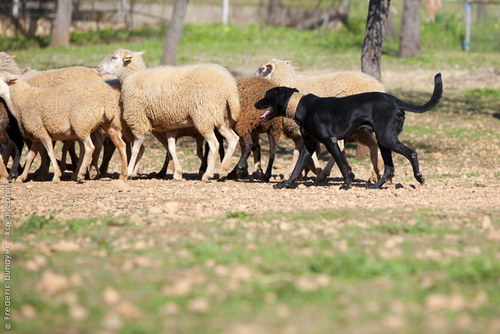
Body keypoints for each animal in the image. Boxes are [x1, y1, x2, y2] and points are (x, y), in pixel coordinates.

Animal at [0, 72, 128, 183]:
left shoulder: (42, 132)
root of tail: (105, 100)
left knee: (90, 147)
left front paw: (57, 175)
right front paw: (21, 177)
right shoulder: (36, 136)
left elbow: (50, 152)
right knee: (120, 145)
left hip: (81, 124)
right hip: (108, 124)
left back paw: (81, 174)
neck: (23, 99)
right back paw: (123, 175)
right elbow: (30, 157)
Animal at [96, 48, 241, 181]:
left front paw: (129, 171)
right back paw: (223, 170)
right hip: (220, 116)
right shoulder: (170, 125)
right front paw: (178, 173)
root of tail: (229, 85)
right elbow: (171, 148)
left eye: (114, 57)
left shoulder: (139, 118)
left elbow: (136, 147)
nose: (97, 67)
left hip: (203, 115)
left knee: (214, 144)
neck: (132, 77)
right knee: (233, 139)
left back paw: (208, 175)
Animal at [256, 57, 384, 183]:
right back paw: (374, 174)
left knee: (345, 147)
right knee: (372, 145)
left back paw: (324, 174)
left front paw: (303, 172)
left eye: (262, 69)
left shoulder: (302, 131)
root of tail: (379, 87)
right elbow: (300, 151)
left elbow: (301, 152)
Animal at [256, 73, 444, 190]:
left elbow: (341, 164)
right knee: (389, 167)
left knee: (412, 152)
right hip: (383, 141)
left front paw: (346, 184)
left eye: (267, 95)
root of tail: (396, 101)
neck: (300, 105)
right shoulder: (309, 144)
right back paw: (376, 186)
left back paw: (419, 177)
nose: (254, 104)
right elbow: (297, 168)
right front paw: (286, 184)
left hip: (386, 138)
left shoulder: (330, 141)